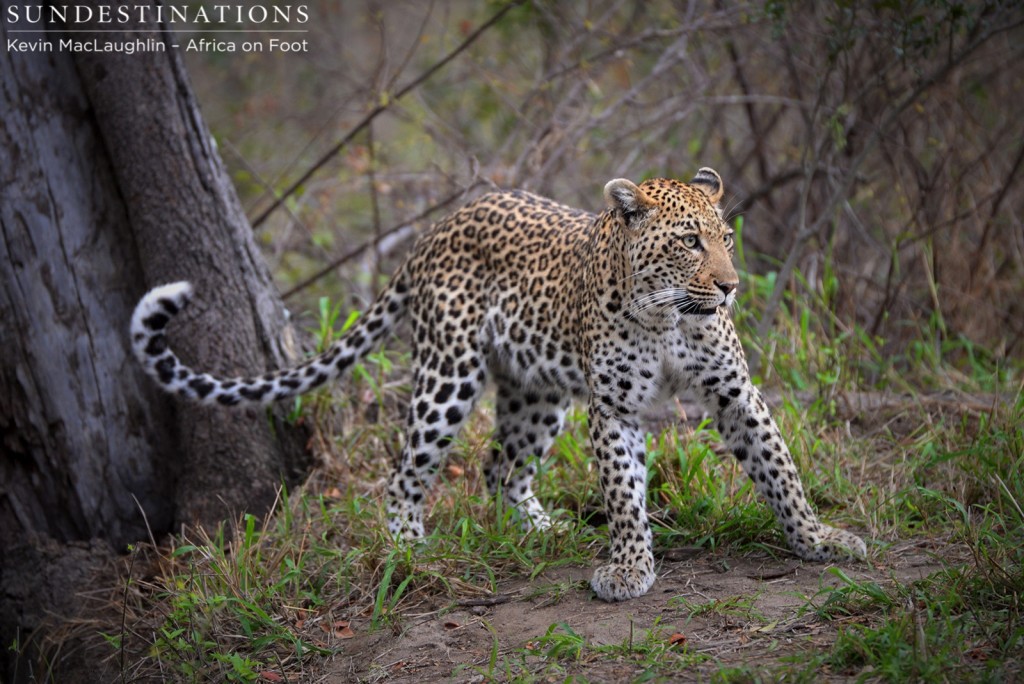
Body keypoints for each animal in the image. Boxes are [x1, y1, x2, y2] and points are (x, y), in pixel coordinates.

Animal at [128, 167, 864, 602]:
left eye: (726, 238)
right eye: (689, 241)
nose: (732, 286)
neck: (669, 317)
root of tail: (436, 228)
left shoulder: (735, 392)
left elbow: (779, 467)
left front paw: (818, 540)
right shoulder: (614, 408)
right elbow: (624, 496)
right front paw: (629, 568)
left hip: (539, 394)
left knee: (500, 467)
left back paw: (544, 531)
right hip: (448, 376)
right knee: (405, 471)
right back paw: (409, 550)